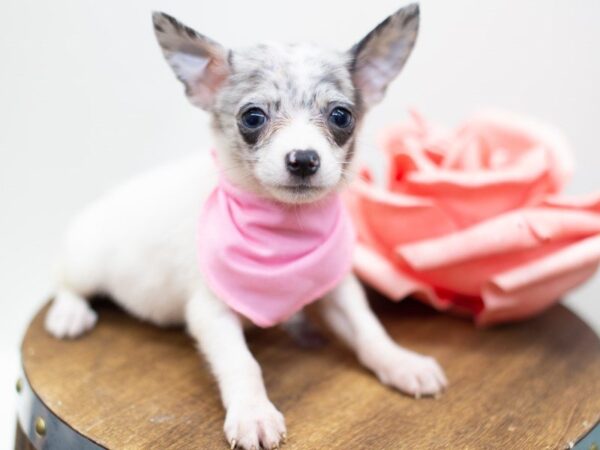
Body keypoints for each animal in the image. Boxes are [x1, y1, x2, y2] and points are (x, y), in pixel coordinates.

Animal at [45, 4, 446, 450]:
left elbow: (369, 330)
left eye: (341, 116)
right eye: (253, 118)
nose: (303, 159)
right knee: (66, 283)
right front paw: (253, 412)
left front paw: (400, 362)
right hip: (86, 261)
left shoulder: (338, 289)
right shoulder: (211, 312)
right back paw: (68, 314)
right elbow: (243, 364)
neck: (285, 229)